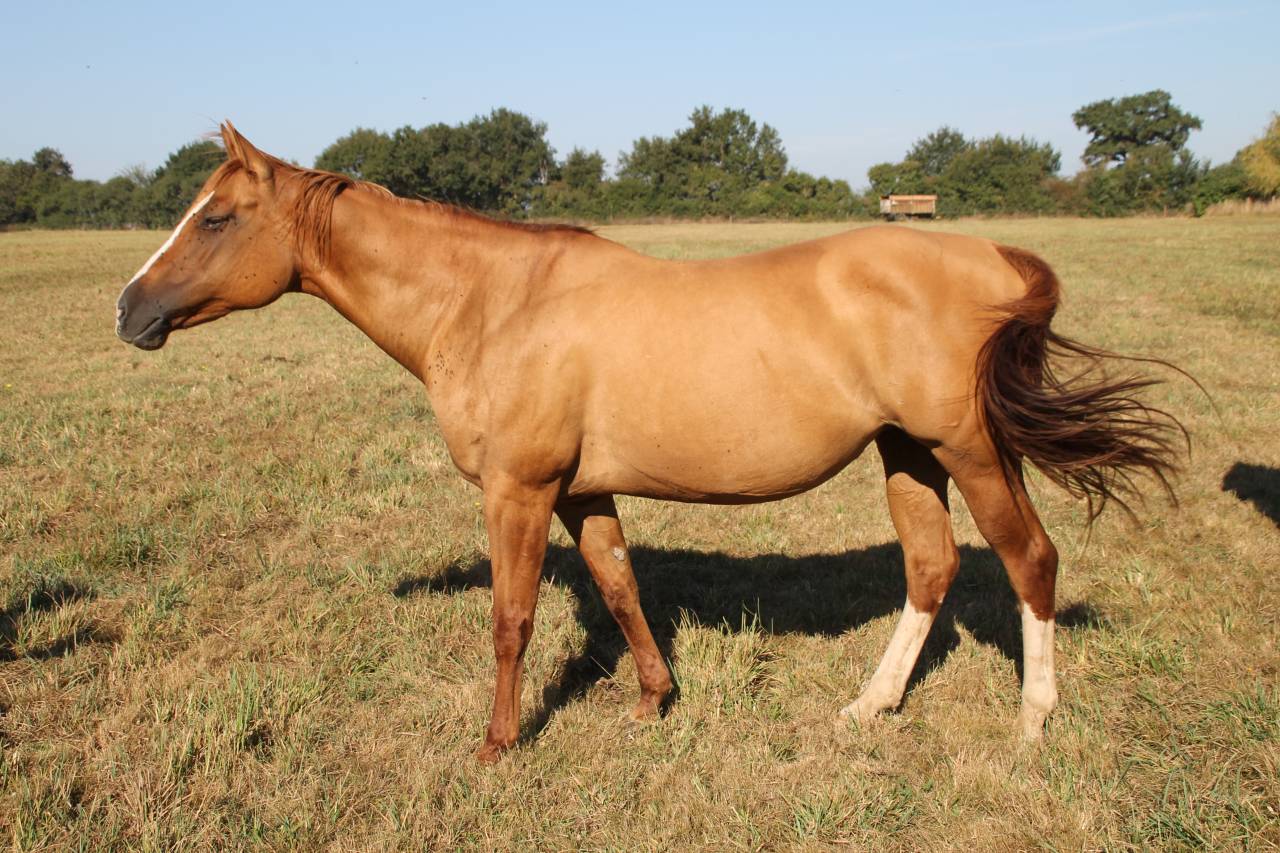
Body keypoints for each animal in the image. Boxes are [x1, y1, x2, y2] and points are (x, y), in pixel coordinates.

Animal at [115, 123, 1183, 763]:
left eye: (215, 217)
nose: (128, 309)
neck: (494, 302)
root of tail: (993, 255)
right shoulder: (582, 490)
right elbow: (623, 588)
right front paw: (653, 701)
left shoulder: (519, 489)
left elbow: (510, 619)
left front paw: (498, 744)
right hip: (909, 453)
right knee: (931, 569)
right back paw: (869, 706)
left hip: (967, 446)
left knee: (1029, 559)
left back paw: (1033, 718)